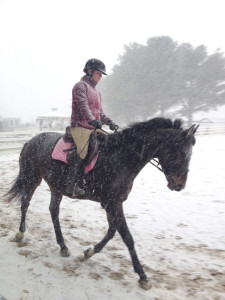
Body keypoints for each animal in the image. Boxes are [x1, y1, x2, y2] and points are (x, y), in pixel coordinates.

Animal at [5, 116, 199, 288]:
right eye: (181, 152)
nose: (179, 185)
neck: (121, 157)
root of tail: (30, 141)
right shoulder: (112, 204)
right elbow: (127, 237)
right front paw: (142, 276)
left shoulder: (113, 204)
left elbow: (112, 232)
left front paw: (88, 253)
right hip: (32, 179)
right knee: (25, 204)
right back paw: (20, 233)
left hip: (56, 187)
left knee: (53, 211)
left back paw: (63, 246)